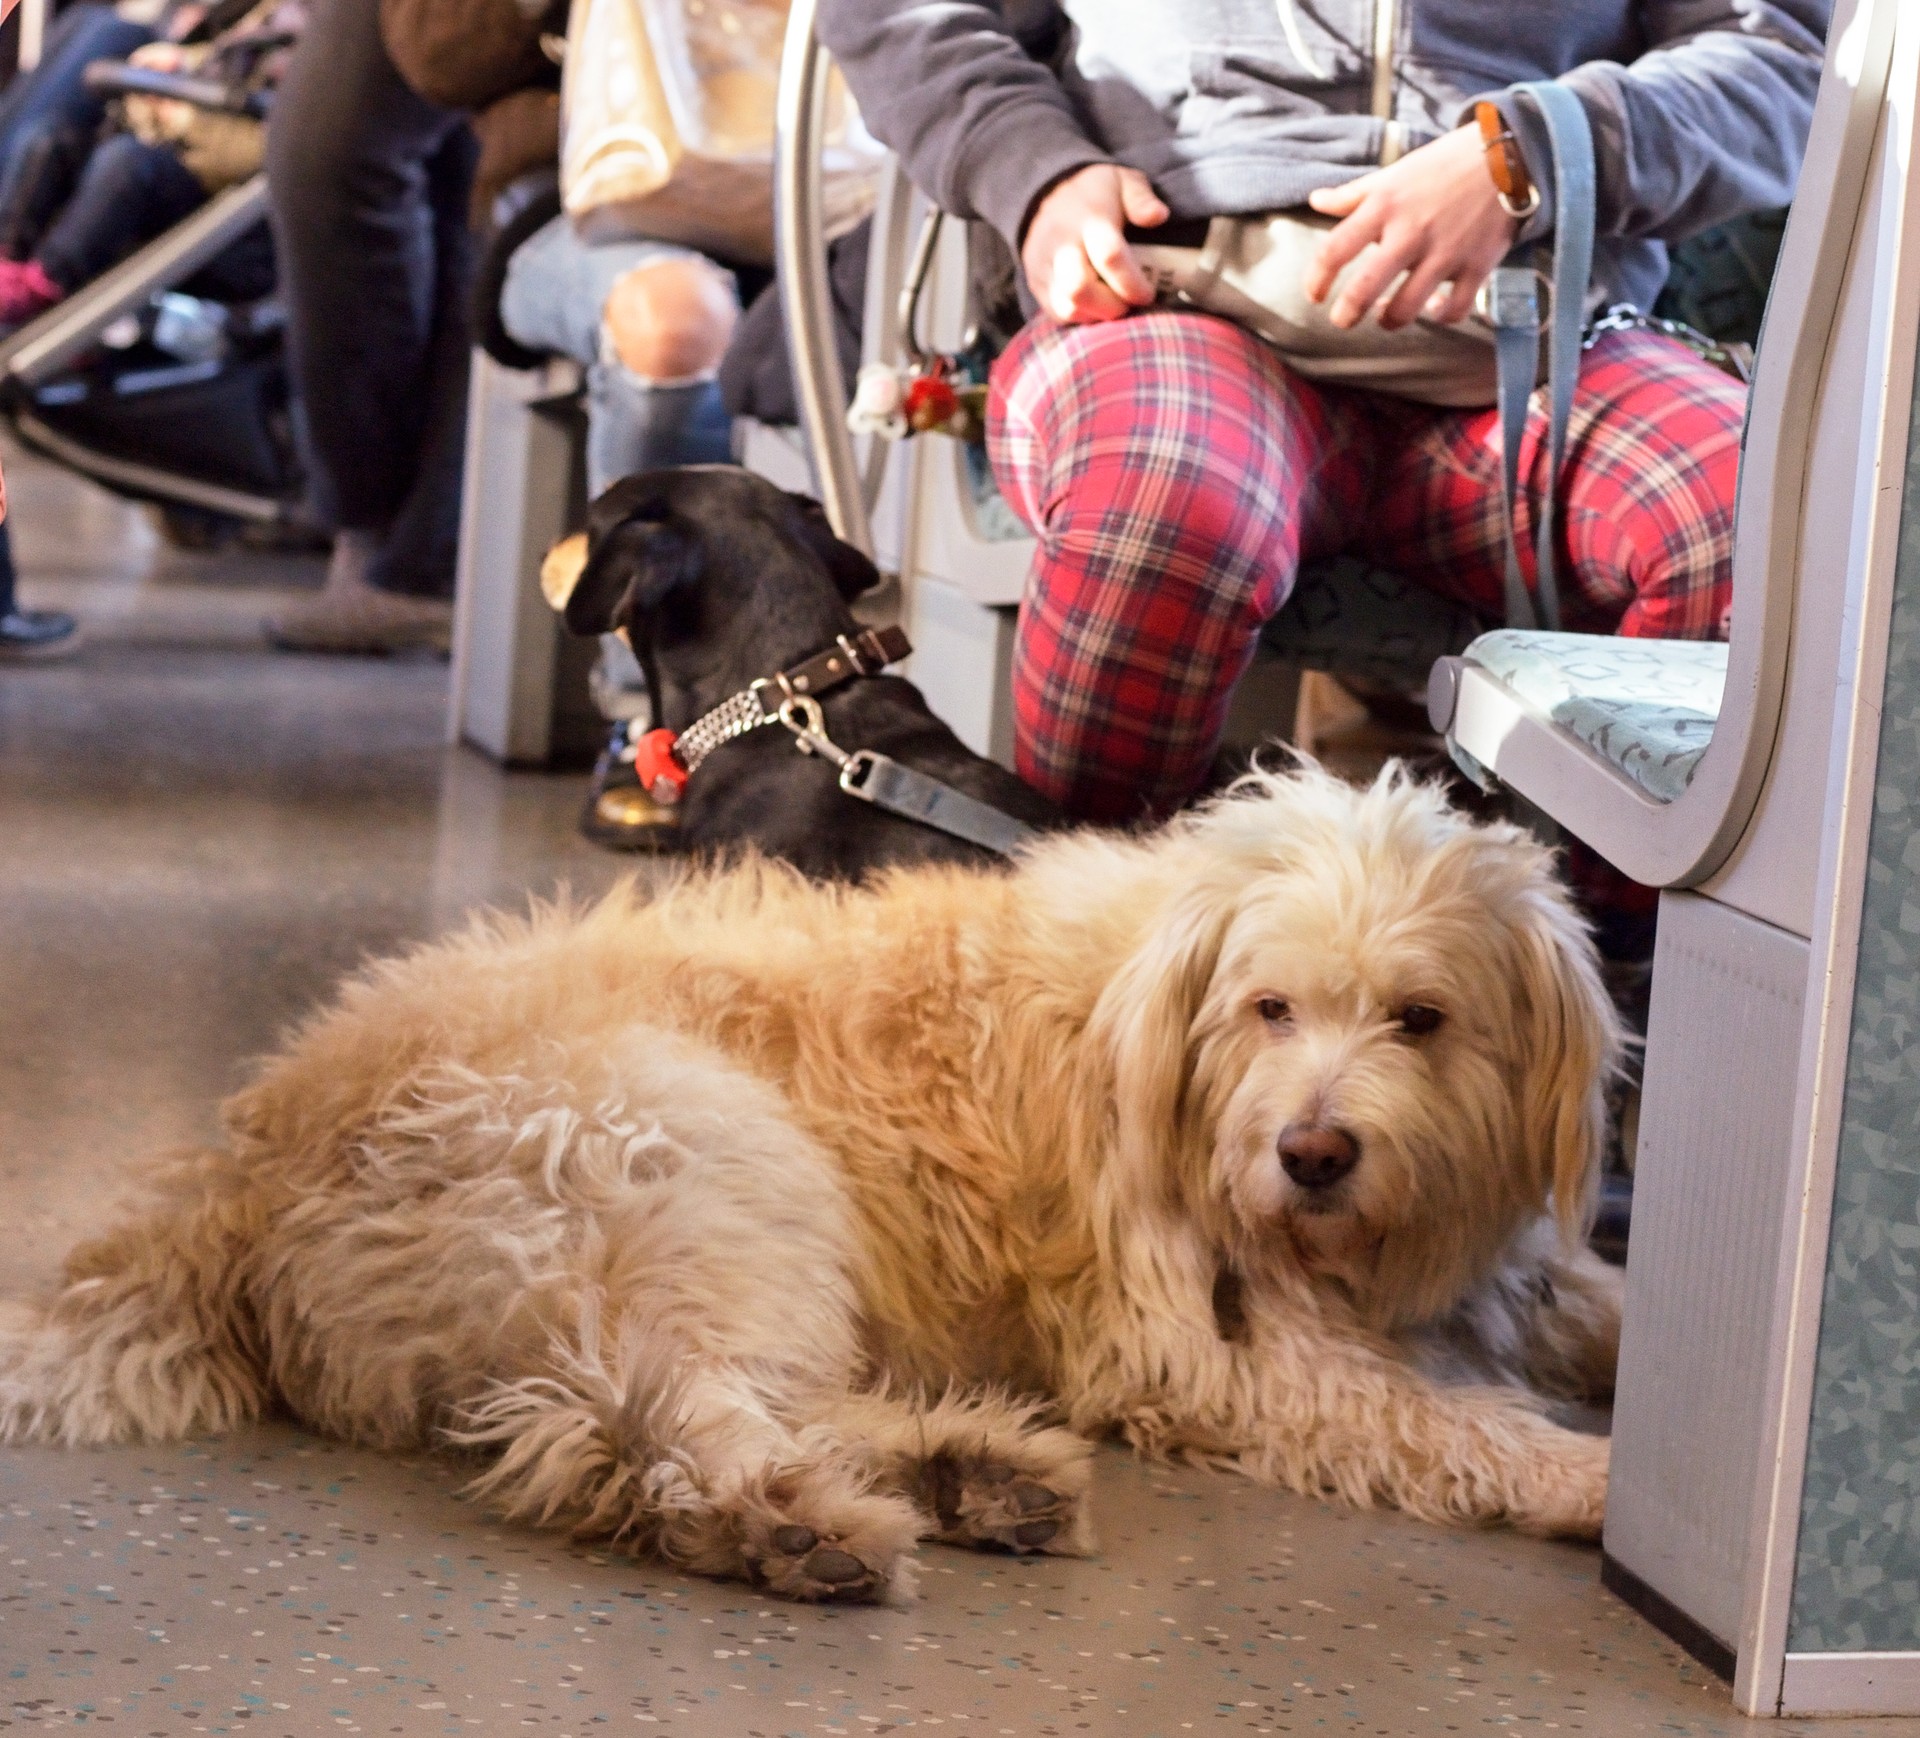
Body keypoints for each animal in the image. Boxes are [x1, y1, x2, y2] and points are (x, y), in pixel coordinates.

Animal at [0, 768, 1620, 1597]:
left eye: (1420, 1017)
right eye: (1272, 1008)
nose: (1315, 1152)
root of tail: (245, 1159)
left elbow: (1586, 1304)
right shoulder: (1197, 1347)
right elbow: (1431, 1418)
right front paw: (1592, 1481)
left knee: (732, 1392)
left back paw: (971, 1473)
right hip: (689, 1161)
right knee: (640, 1419)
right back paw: (789, 1521)